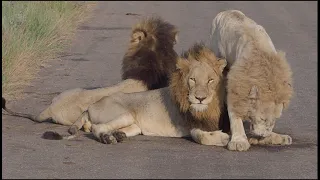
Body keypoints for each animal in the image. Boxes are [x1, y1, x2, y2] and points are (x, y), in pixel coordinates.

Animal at [44, 42, 230, 146]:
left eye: (210, 80)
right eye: (192, 79)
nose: (200, 98)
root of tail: (90, 107)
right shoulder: (189, 124)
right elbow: (200, 136)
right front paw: (224, 139)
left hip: (134, 126)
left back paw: (117, 135)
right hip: (125, 114)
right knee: (97, 128)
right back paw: (108, 139)